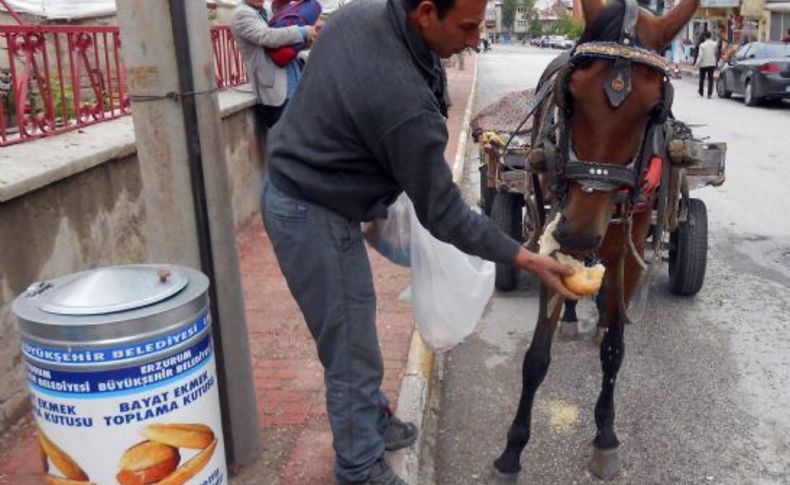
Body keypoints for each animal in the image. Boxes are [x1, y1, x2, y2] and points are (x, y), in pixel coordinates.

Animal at [496, 0, 700, 478]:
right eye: (570, 95)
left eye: (655, 111)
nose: (578, 232)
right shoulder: (549, 237)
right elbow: (536, 357)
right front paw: (513, 449)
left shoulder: (630, 239)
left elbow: (614, 350)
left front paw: (605, 435)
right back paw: (574, 316)